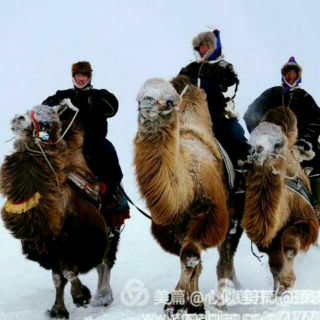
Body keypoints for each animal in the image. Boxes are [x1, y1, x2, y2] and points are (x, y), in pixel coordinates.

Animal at [133, 75, 242, 316]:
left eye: (168, 101)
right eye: (139, 99)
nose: (147, 105)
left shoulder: (210, 212)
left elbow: (190, 257)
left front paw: (180, 304)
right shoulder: (173, 225)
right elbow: (191, 259)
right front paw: (188, 304)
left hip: (234, 216)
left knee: (225, 256)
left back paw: (222, 300)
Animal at [241, 105, 318, 296]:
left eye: (277, 144)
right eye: (250, 142)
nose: (258, 149)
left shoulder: (307, 221)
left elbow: (290, 249)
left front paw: (287, 283)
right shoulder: (270, 241)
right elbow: (274, 264)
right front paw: (278, 290)